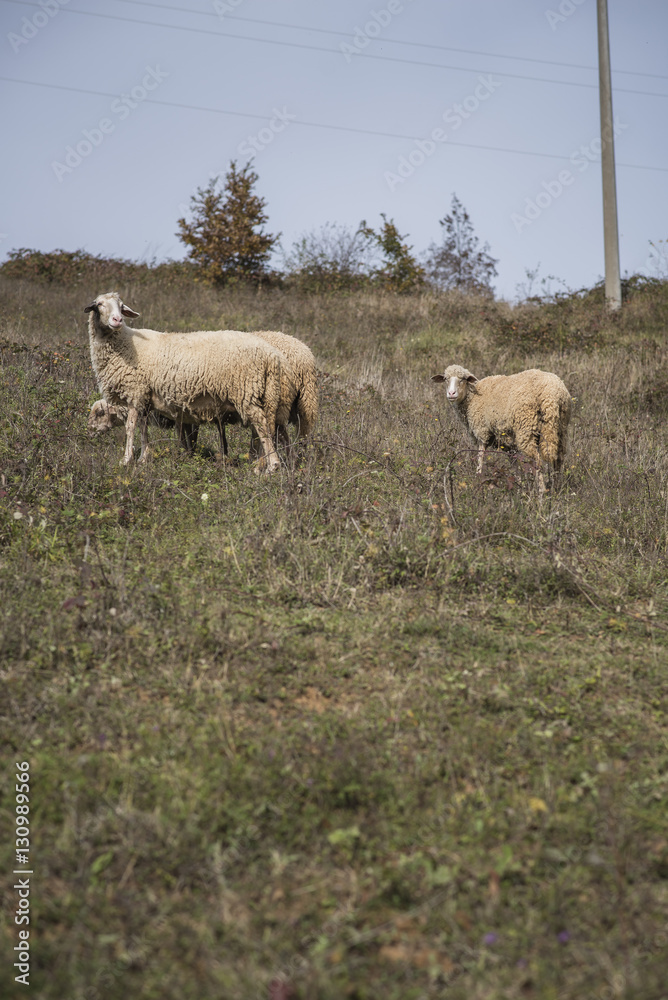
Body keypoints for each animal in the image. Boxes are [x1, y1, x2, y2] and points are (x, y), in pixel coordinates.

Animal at [85, 291, 297, 473]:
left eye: (121, 307)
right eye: (100, 305)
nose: (117, 320)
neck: (125, 343)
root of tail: (273, 355)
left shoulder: (134, 392)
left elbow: (130, 427)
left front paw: (126, 460)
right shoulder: (144, 397)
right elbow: (143, 428)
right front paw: (144, 458)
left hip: (247, 392)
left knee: (262, 427)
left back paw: (272, 467)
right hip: (269, 396)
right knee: (270, 428)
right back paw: (266, 465)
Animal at [431, 364, 571, 493]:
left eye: (463, 379)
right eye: (445, 379)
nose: (451, 394)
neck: (471, 398)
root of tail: (550, 394)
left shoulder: (482, 432)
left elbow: (480, 457)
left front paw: (478, 480)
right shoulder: (507, 442)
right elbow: (514, 464)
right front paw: (519, 486)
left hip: (526, 428)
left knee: (537, 460)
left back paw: (542, 492)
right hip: (560, 427)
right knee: (559, 458)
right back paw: (557, 487)